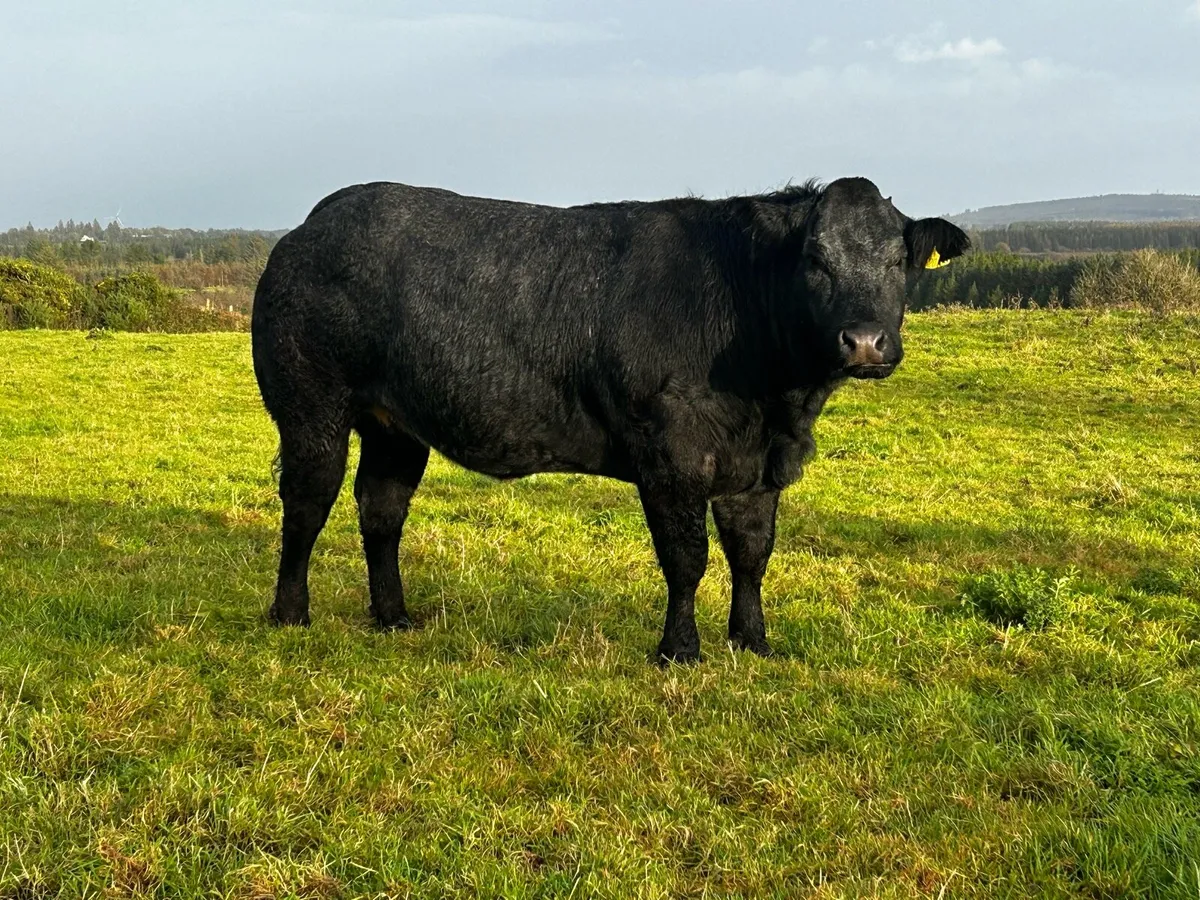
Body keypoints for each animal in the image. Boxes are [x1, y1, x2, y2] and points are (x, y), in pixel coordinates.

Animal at [250, 176, 969, 664]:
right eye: (815, 260)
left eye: (896, 260)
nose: (865, 342)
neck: (776, 404)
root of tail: (318, 220)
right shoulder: (671, 453)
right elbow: (686, 558)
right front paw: (680, 650)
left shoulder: (756, 466)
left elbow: (751, 554)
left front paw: (752, 641)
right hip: (309, 406)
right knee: (308, 503)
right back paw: (289, 615)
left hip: (395, 425)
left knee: (381, 509)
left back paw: (394, 617)